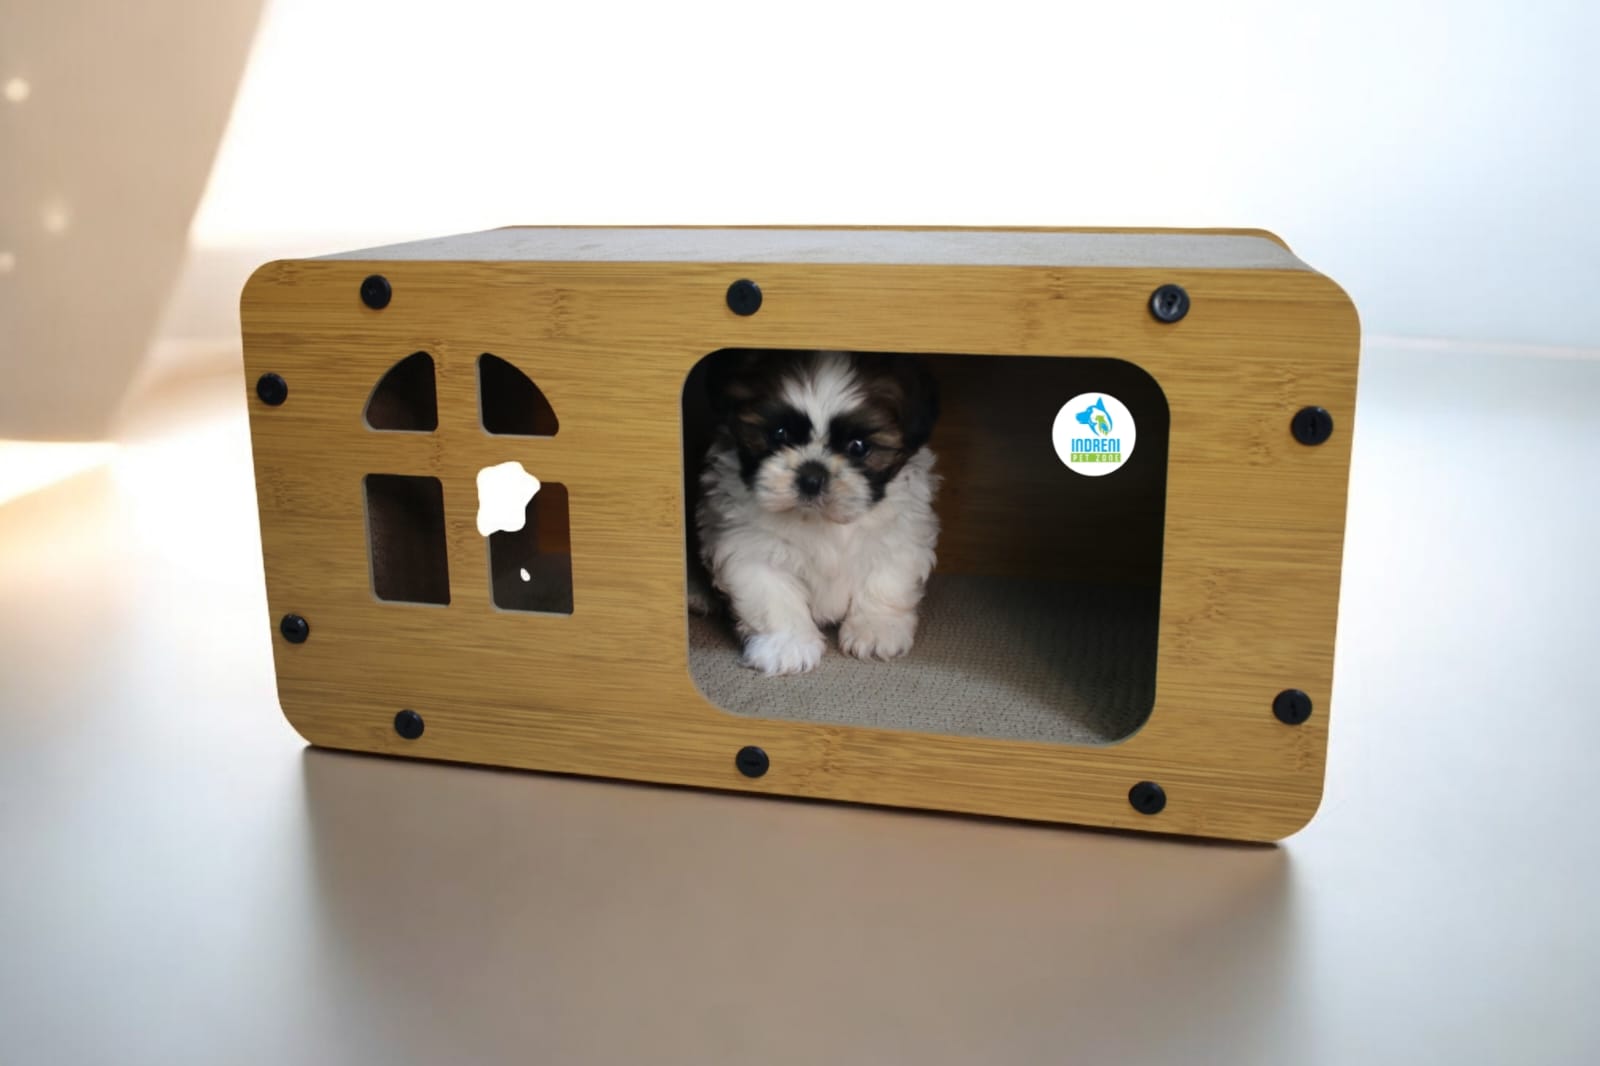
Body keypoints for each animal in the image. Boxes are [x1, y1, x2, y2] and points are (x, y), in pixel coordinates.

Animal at [693, 350, 941, 676]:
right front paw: (787, 646)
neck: (819, 520)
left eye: (858, 447)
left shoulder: (900, 533)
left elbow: (886, 580)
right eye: (780, 434)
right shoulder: (748, 547)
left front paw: (876, 629)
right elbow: (772, 595)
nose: (812, 476)